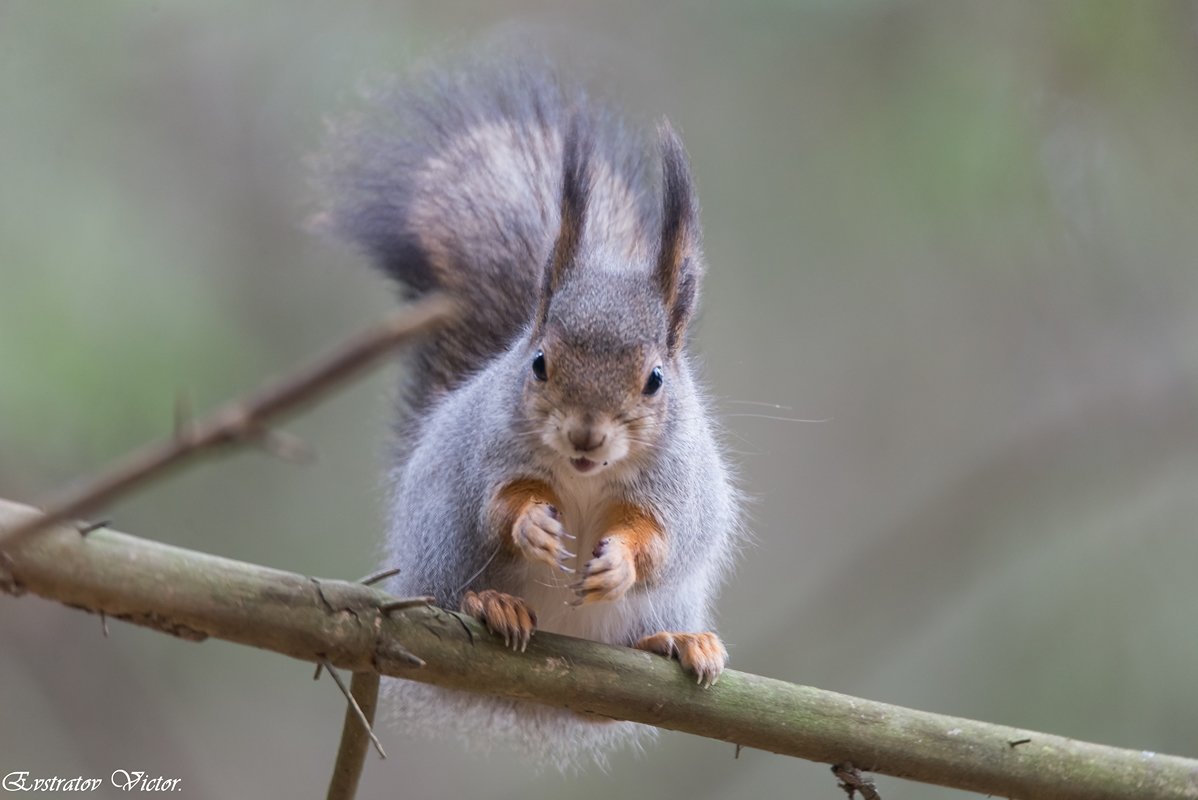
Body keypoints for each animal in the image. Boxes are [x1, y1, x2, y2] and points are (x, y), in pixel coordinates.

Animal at [316, 51, 737, 766]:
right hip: (440, 551)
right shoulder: (490, 455)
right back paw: (493, 605)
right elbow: (498, 505)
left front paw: (620, 560)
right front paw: (534, 527)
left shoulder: (674, 487)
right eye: (538, 362)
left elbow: (658, 538)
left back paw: (678, 642)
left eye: (655, 379)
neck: (583, 478)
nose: (586, 436)